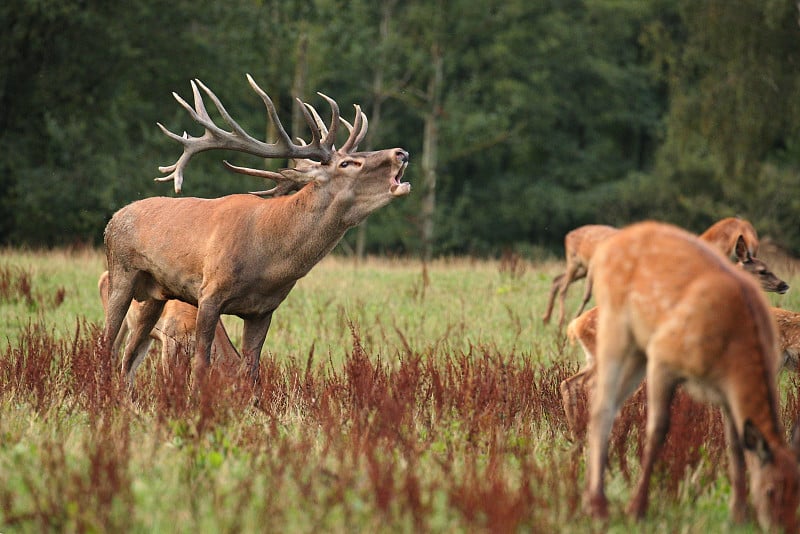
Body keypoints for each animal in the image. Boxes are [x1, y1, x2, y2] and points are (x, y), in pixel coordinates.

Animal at [101, 74, 410, 390]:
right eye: (347, 163)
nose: (401, 152)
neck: (268, 260)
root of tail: (114, 218)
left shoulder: (263, 310)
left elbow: (252, 374)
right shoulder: (209, 293)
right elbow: (201, 366)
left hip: (154, 295)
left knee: (128, 358)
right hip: (121, 274)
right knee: (107, 345)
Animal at [580, 221, 800, 532]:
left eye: (799, 490)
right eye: (771, 490)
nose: (784, 284)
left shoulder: (727, 392)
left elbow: (735, 446)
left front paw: (739, 514)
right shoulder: (663, 358)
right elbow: (658, 430)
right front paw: (637, 509)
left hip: (638, 350)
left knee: (601, 398)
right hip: (617, 330)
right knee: (600, 403)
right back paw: (599, 506)